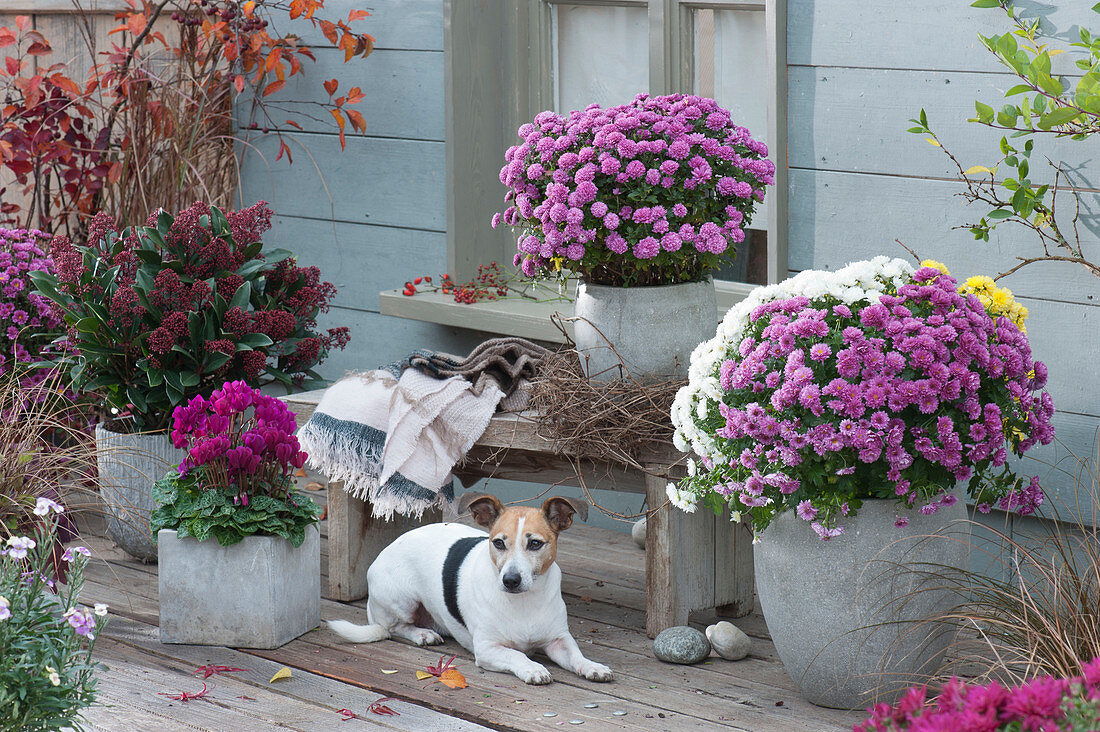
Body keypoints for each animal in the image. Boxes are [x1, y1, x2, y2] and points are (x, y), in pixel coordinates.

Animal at [325, 490, 620, 686]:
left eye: (535, 543)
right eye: (498, 543)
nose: (510, 580)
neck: (523, 601)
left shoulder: (559, 640)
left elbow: (577, 655)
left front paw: (591, 666)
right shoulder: (488, 649)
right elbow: (516, 655)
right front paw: (533, 668)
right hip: (402, 600)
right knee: (393, 628)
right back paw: (422, 634)